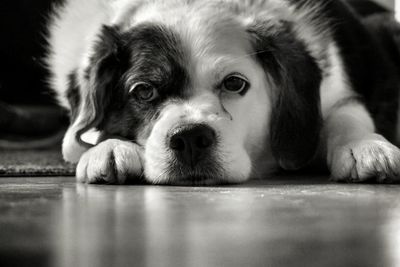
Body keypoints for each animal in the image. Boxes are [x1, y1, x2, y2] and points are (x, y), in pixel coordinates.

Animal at [45, 0, 400, 185]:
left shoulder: (335, 91)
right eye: (143, 91)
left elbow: (347, 117)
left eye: (234, 83)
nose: (189, 138)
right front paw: (108, 147)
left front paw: (365, 147)